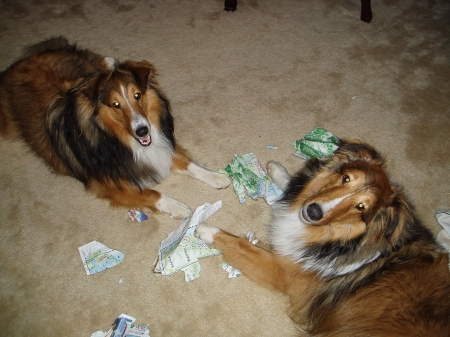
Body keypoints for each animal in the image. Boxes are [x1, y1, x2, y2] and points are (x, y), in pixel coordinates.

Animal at [0, 36, 230, 218]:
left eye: (137, 95)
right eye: (115, 105)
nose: (143, 131)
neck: (116, 137)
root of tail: (20, 63)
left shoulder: (159, 149)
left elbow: (189, 164)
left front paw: (216, 177)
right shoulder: (108, 184)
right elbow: (149, 193)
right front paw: (177, 206)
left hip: (79, 74)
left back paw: (109, 61)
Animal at [196, 140, 450, 336]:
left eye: (361, 207)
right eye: (346, 178)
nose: (314, 211)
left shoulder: (284, 273)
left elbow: (240, 244)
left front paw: (204, 229)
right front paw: (278, 170)